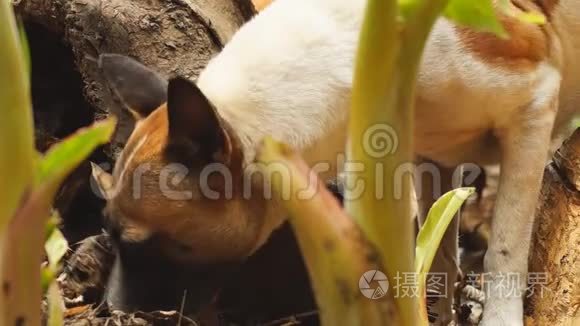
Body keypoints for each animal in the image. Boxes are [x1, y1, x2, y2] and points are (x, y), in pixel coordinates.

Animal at [93, 1, 576, 324]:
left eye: (137, 245)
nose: (109, 309)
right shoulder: (429, 158)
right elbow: (437, 254)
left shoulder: (532, 110)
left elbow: (504, 254)